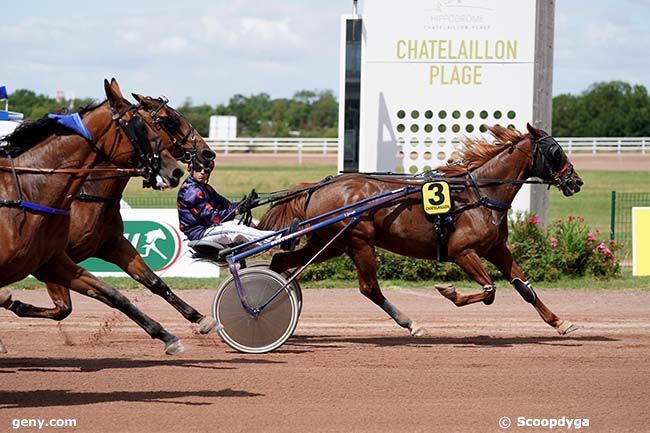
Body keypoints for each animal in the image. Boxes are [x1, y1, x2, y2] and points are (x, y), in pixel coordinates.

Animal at [258, 123, 584, 336]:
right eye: (555, 151)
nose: (576, 181)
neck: (479, 193)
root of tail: (317, 186)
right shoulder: (461, 251)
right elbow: (489, 291)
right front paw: (448, 290)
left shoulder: (496, 249)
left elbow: (524, 288)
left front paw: (561, 323)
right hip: (358, 242)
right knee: (369, 288)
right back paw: (411, 323)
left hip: (330, 244)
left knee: (282, 261)